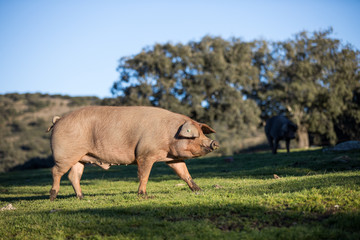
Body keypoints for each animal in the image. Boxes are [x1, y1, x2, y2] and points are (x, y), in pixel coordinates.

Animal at [47, 106, 219, 201]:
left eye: (203, 134)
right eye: (195, 136)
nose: (214, 142)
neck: (170, 135)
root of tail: (57, 121)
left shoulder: (172, 158)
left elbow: (184, 173)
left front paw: (199, 190)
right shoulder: (145, 154)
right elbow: (144, 175)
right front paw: (143, 195)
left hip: (80, 158)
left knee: (73, 176)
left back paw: (82, 198)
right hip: (64, 155)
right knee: (55, 171)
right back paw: (53, 197)